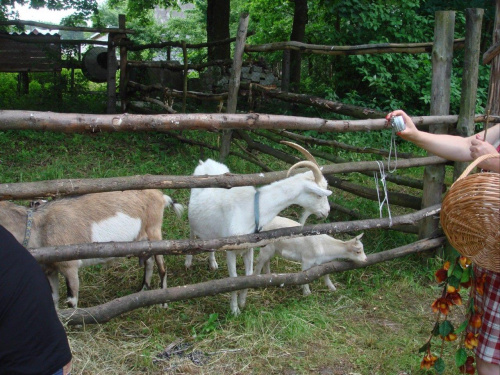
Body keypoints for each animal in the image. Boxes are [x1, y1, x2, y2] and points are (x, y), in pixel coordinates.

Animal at [0, 189, 184, 310]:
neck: (41, 227)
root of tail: (160, 196)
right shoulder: (49, 269)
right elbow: (53, 298)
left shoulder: (70, 266)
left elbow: (71, 300)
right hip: (143, 241)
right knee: (149, 262)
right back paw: (143, 291)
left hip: (155, 232)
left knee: (162, 266)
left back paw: (163, 303)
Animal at [187, 142, 332, 316]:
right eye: (319, 195)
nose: (327, 212)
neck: (251, 209)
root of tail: (205, 162)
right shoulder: (231, 249)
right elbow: (233, 278)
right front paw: (234, 310)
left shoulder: (249, 247)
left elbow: (248, 275)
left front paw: (242, 302)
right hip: (193, 218)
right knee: (192, 233)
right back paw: (188, 261)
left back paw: (213, 263)